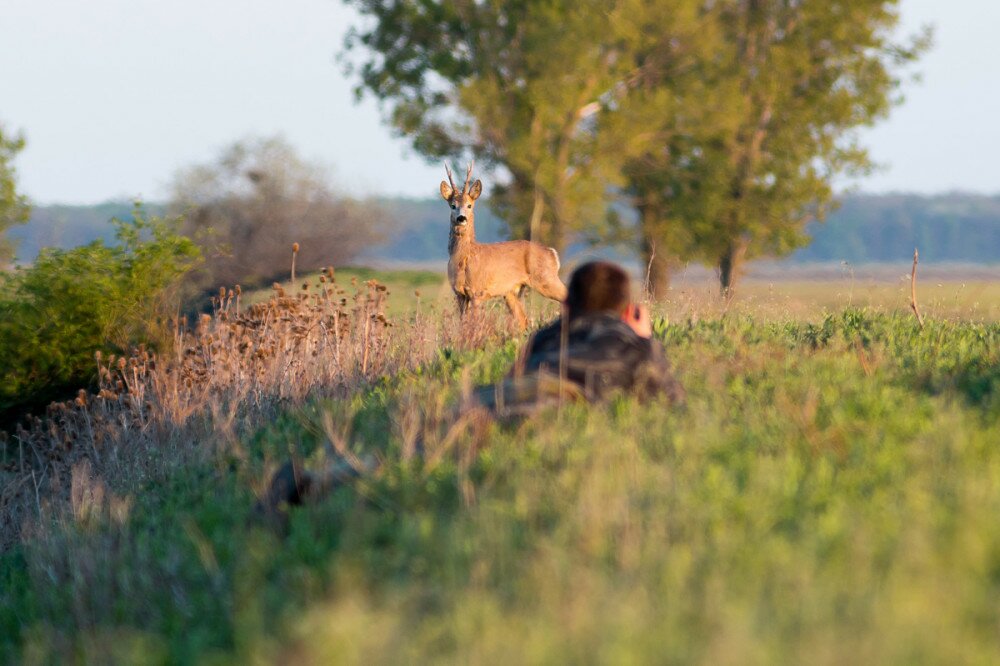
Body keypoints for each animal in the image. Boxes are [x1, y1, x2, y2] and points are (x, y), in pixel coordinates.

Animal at [442, 163, 568, 330]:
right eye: (453, 205)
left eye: (469, 205)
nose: (461, 218)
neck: (464, 258)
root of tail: (552, 253)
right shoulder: (460, 294)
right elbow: (463, 325)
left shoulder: (477, 292)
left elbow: (474, 325)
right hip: (512, 292)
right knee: (524, 321)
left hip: (546, 278)